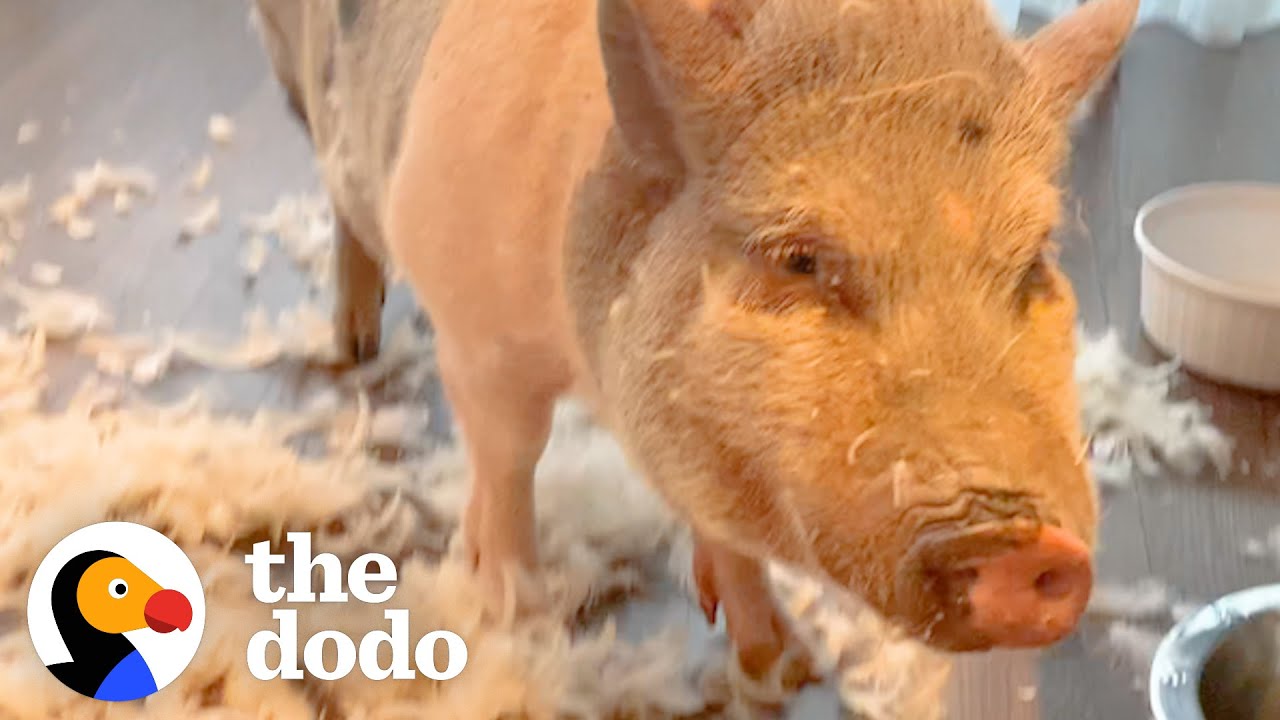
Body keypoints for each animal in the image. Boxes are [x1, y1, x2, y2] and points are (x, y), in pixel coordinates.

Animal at [252, 0, 1139, 683]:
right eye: (798, 259)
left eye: (1031, 264)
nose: (1029, 547)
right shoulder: (477, 334)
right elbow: (509, 461)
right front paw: (518, 619)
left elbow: (716, 519)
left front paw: (780, 666)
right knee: (343, 209)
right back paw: (353, 344)